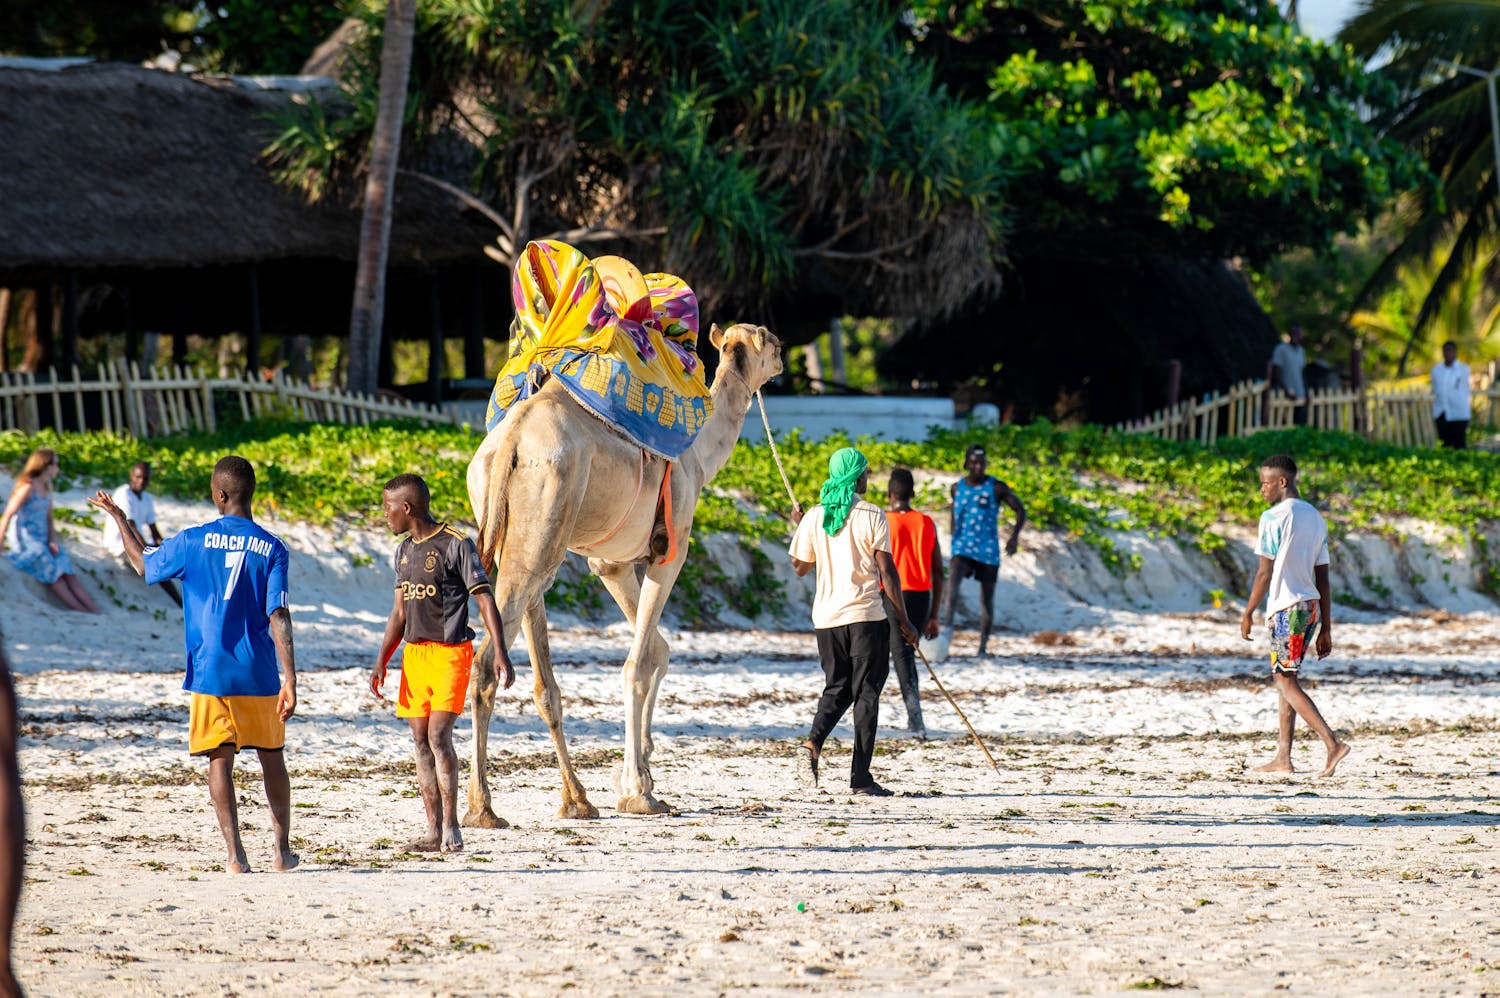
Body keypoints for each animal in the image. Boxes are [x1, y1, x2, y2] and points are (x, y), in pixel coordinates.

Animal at [462, 322, 783, 822]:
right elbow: (637, 662)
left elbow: (657, 650)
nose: (784, 353)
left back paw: (574, 799)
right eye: (767, 340)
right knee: (488, 661)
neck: (698, 458)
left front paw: (640, 768)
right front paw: (638, 790)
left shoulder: (610, 563)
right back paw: (484, 809)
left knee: (534, 676)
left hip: (517, 530)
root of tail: (510, 442)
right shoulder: (671, 551)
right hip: (542, 529)